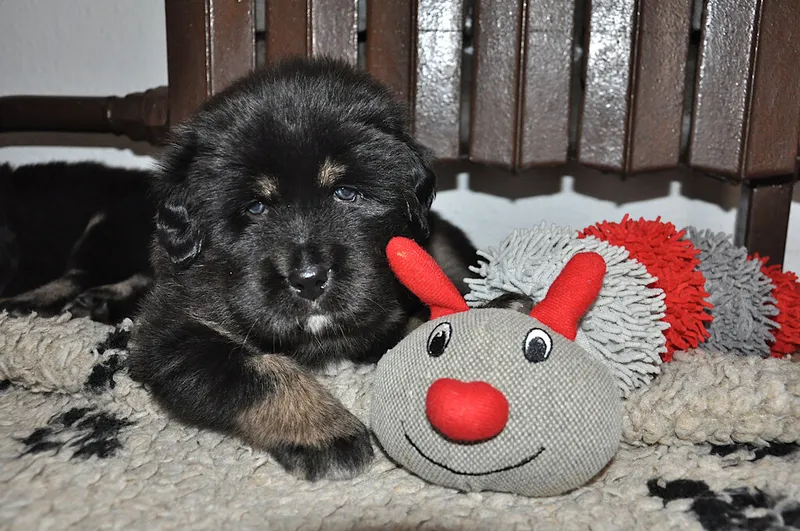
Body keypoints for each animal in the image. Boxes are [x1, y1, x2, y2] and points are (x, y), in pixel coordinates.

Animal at [126, 57, 478, 481]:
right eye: (255, 207)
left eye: (346, 193)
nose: (309, 280)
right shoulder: (169, 336)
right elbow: (261, 371)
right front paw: (322, 431)